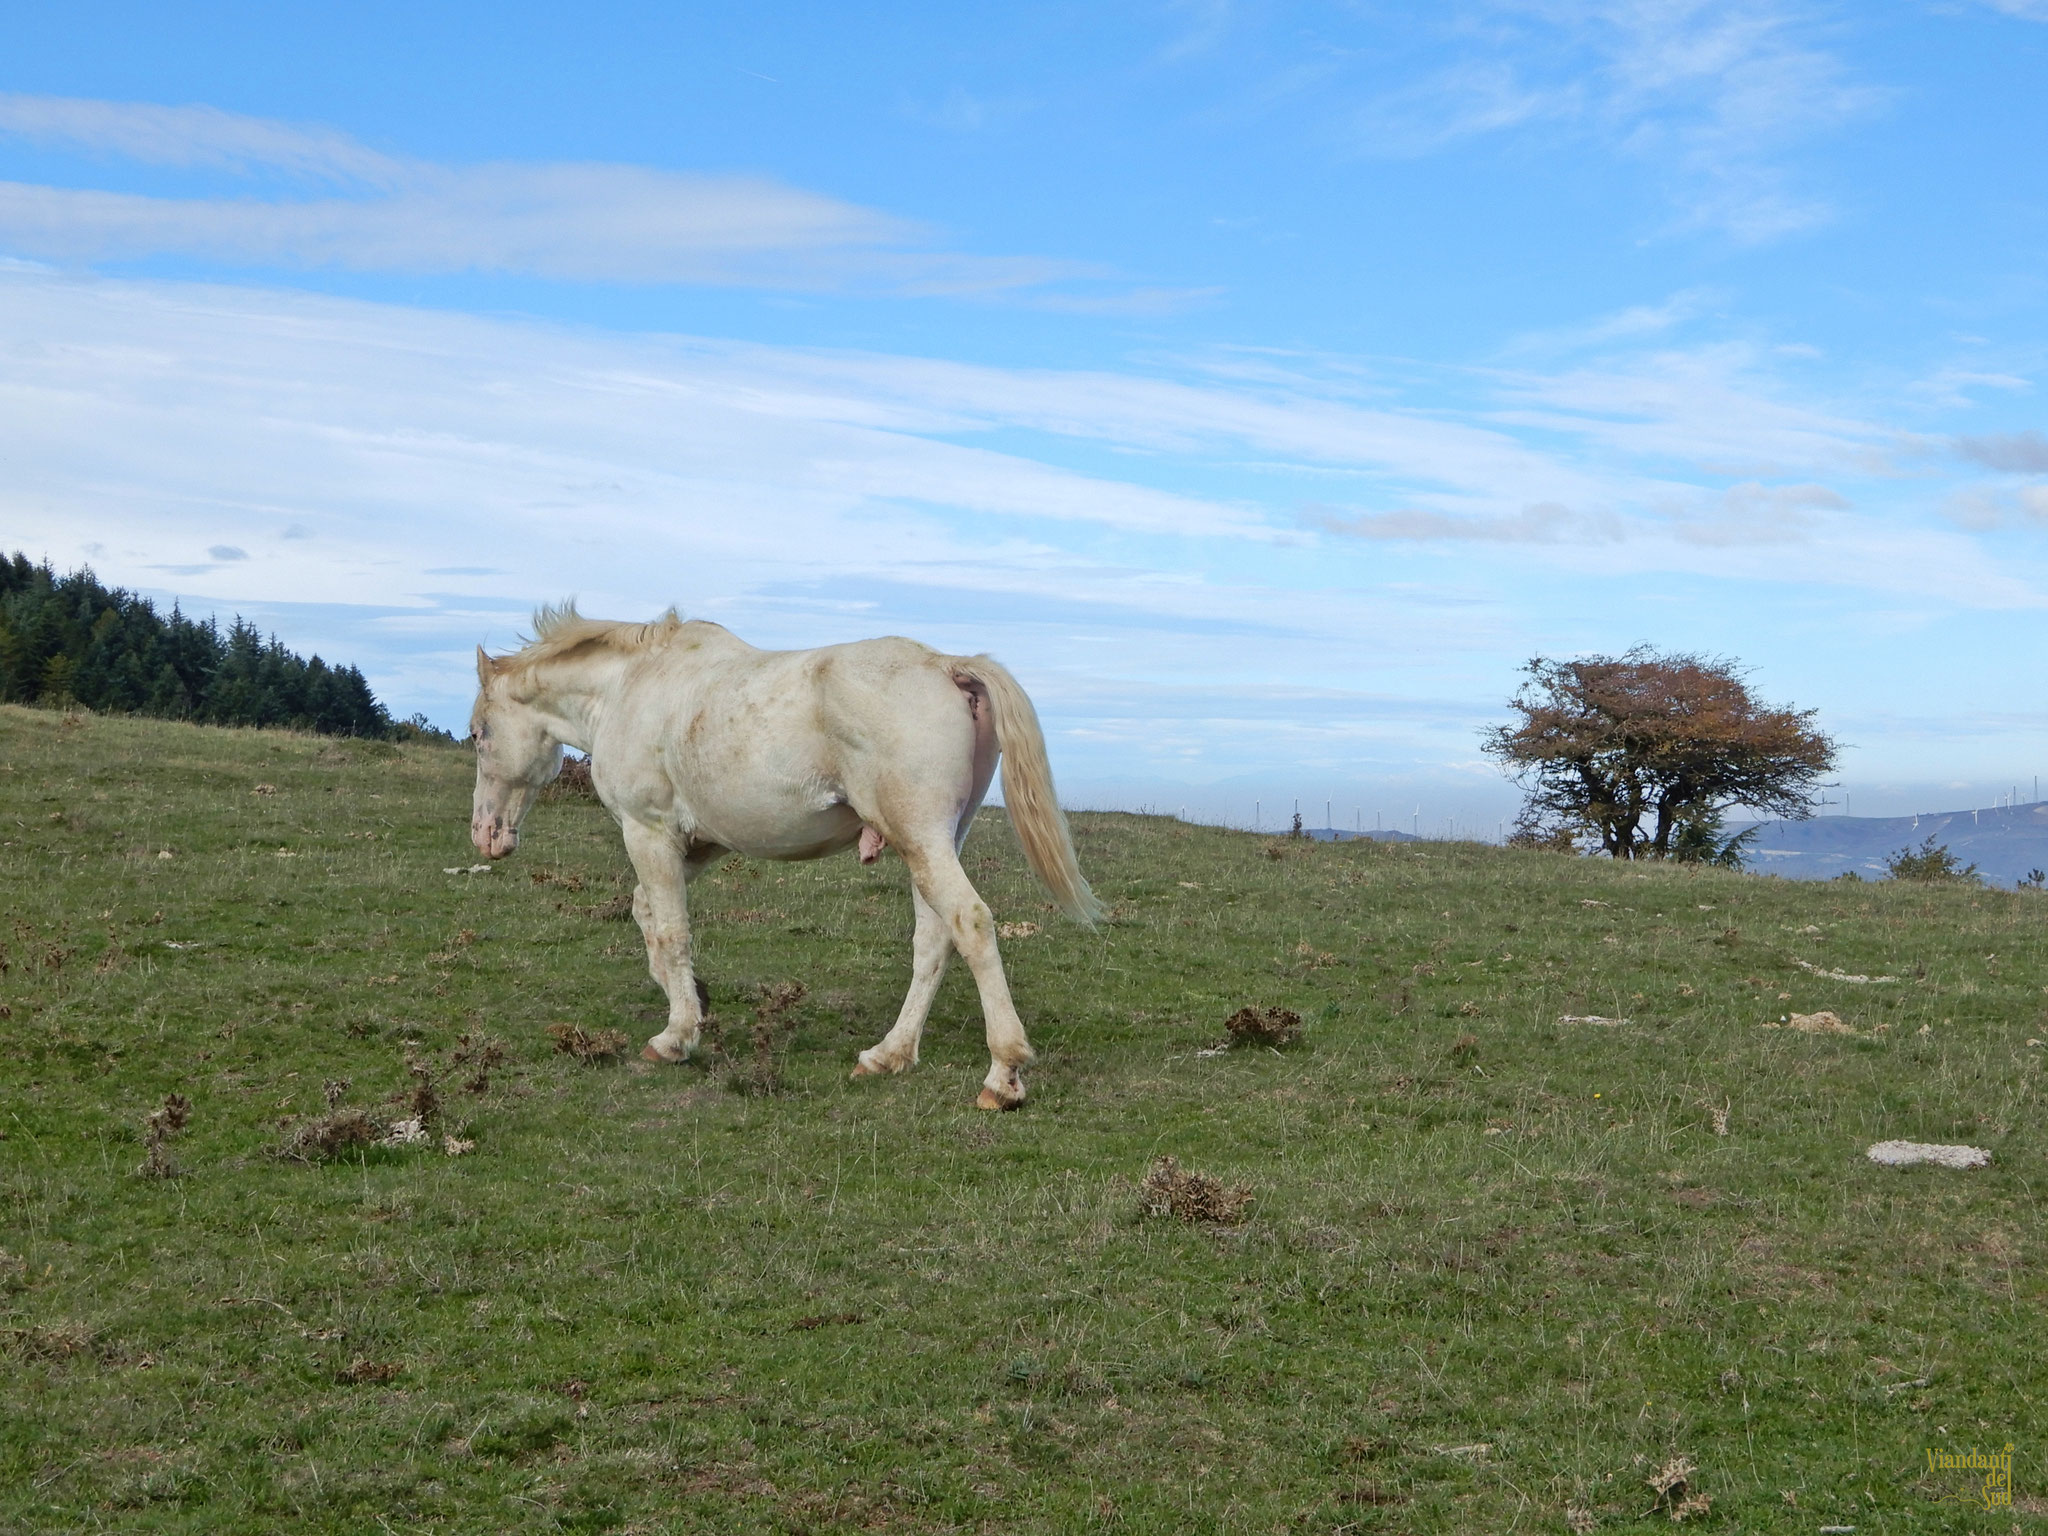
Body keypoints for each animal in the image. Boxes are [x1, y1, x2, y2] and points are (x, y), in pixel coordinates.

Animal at [468, 604, 1101, 1108]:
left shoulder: (649, 833)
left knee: (969, 922)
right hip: (936, 842)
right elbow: (647, 913)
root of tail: (948, 664)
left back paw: (1002, 1076)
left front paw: (675, 1038)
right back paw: (887, 1055)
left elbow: (670, 929)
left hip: (921, 839)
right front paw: (693, 1001)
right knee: (933, 939)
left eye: (479, 733)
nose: (486, 835)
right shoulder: (698, 844)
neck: (631, 687)